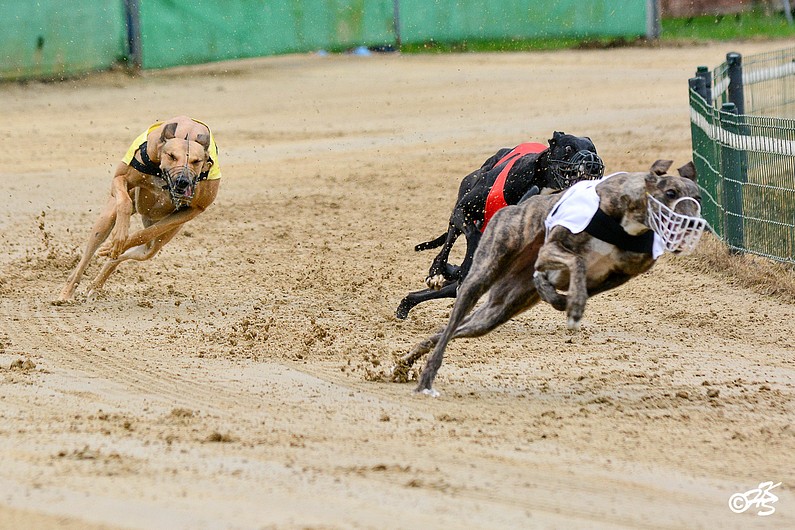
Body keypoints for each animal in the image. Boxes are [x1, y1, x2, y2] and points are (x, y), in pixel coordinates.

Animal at [58, 116, 220, 301]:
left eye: (196, 161)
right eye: (171, 156)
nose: (182, 181)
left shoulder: (194, 210)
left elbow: (147, 233)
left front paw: (118, 243)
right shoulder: (120, 178)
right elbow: (125, 203)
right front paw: (119, 235)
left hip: (152, 248)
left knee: (120, 256)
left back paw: (97, 283)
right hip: (105, 220)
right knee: (88, 255)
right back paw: (67, 292)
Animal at [393, 160, 707, 396]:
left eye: (699, 198)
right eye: (670, 193)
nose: (694, 226)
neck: (628, 221)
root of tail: (516, 206)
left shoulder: (616, 276)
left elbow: (573, 285)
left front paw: (559, 296)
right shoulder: (551, 248)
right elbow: (576, 262)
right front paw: (574, 306)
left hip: (495, 312)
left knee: (446, 332)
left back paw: (405, 363)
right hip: (480, 276)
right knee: (450, 326)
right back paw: (425, 378)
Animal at [396, 132, 604, 320]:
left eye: (593, 149)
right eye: (569, 148)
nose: (592, 163)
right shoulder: (463, 210)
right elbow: (472, 237)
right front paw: (451, 270)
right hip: (461, 206)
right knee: (450, 241)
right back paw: (439, 272)